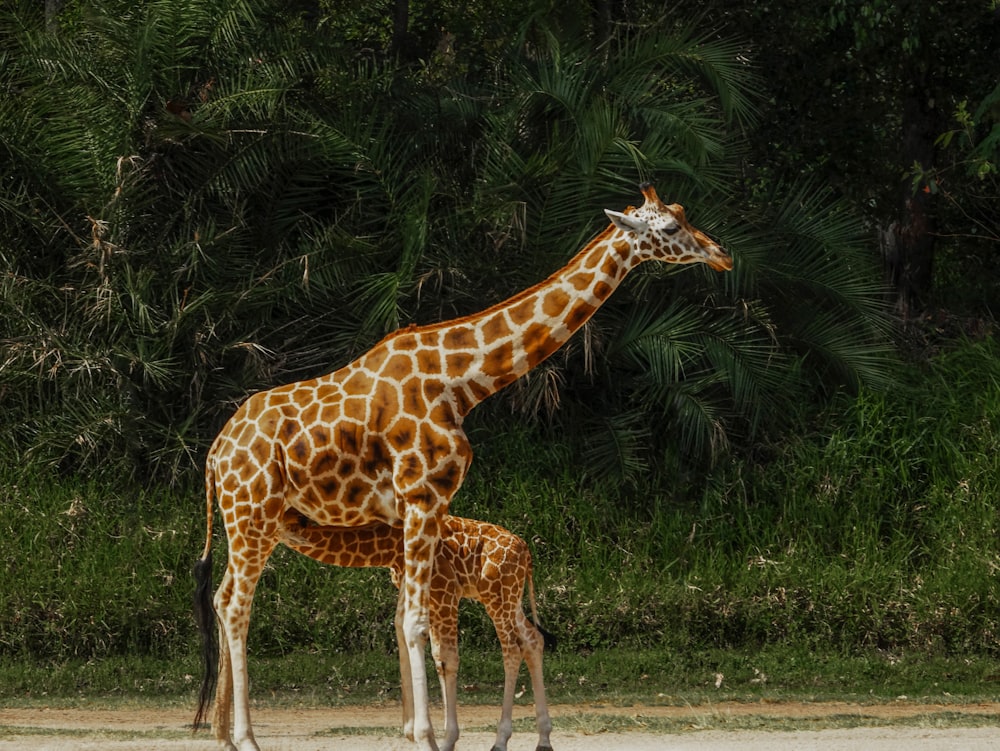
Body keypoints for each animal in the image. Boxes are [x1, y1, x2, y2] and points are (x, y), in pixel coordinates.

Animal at [211, 516, 556, 751]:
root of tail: (526, 553)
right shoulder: (419, 588)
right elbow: (419, 644)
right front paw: (426, 734)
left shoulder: (444, 591)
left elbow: (445, 658)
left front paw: (444, 740)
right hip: (505, 597)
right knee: (532, 639)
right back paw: (542, 738)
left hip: (498, 596)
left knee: (512, 647)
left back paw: (501, 740)